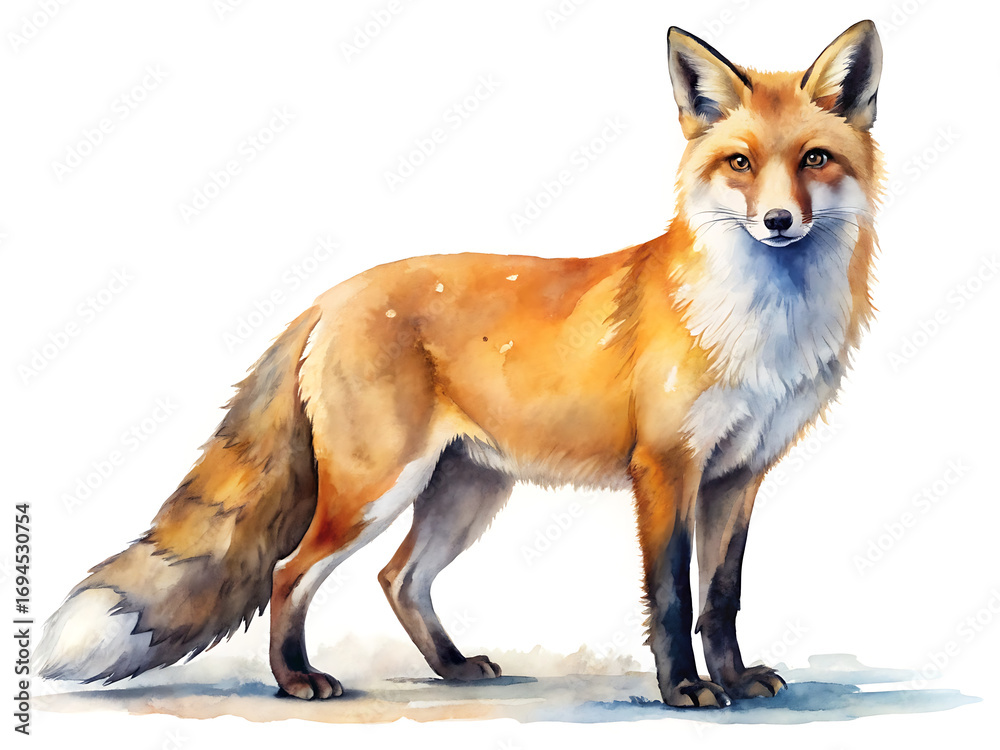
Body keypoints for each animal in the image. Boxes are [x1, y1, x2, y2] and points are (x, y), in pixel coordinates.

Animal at [38, 20, 884, 709]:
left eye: (815, 159)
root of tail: (327, 297)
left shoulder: (738, 476)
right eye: (740, 162)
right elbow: (673, 597)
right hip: (376, 489)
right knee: (288, 570)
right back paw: (297, 680)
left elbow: (721, 596)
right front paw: (684, 690)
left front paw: (735, 679)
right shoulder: (665, 469)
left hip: (465, 491)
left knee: (398, 577)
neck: (761, 328)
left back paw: (450, 666)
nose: (778, 221)